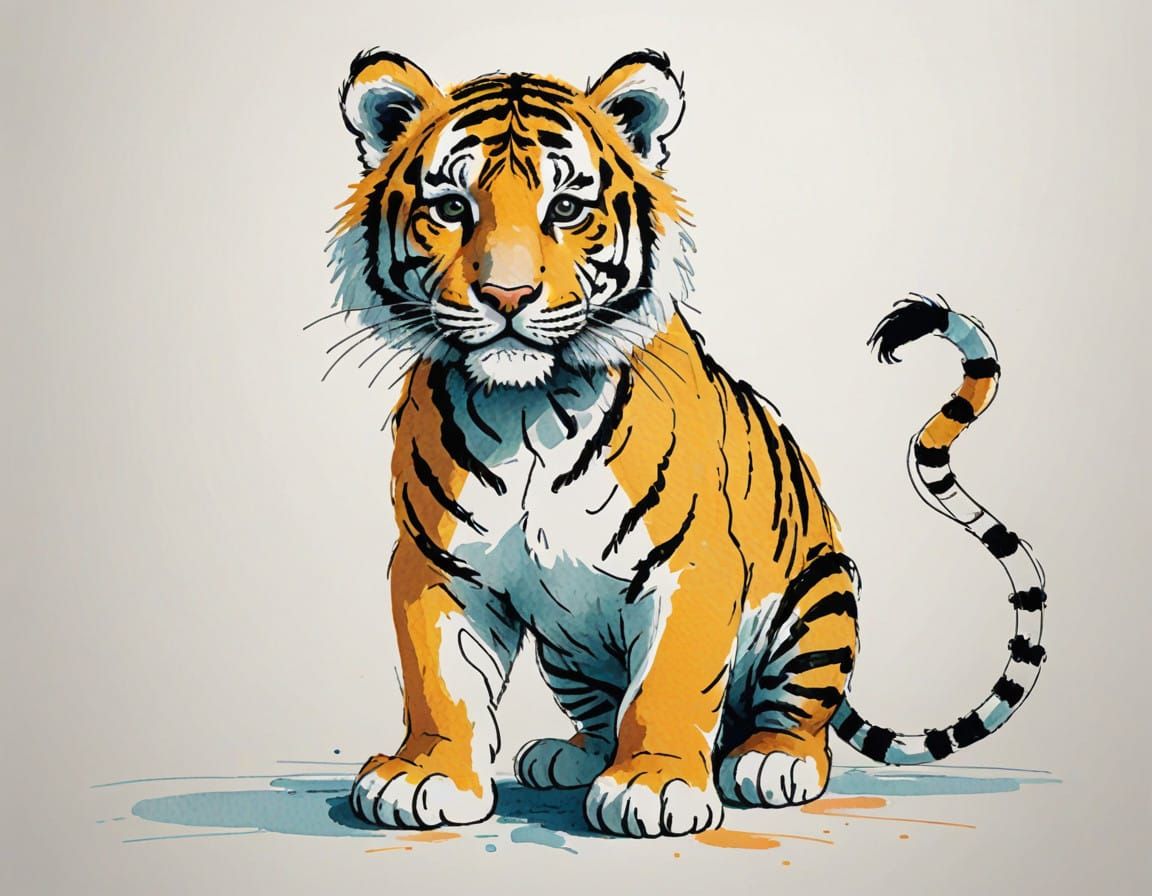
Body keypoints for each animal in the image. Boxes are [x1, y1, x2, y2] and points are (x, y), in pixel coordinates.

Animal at [323, 49, 1047, 837]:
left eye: (567, 209)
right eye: (452, 209)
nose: (508, 297)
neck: (528, 408)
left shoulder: (693, 563)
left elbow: (669, 682)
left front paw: (657, 785)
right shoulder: (438, 567)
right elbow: (440, 680)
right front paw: (426, 775)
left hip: (818, 597)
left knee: (798, 717)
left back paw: (771, 761)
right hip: (569, 651)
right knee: (599, 712)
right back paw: (570, 755)